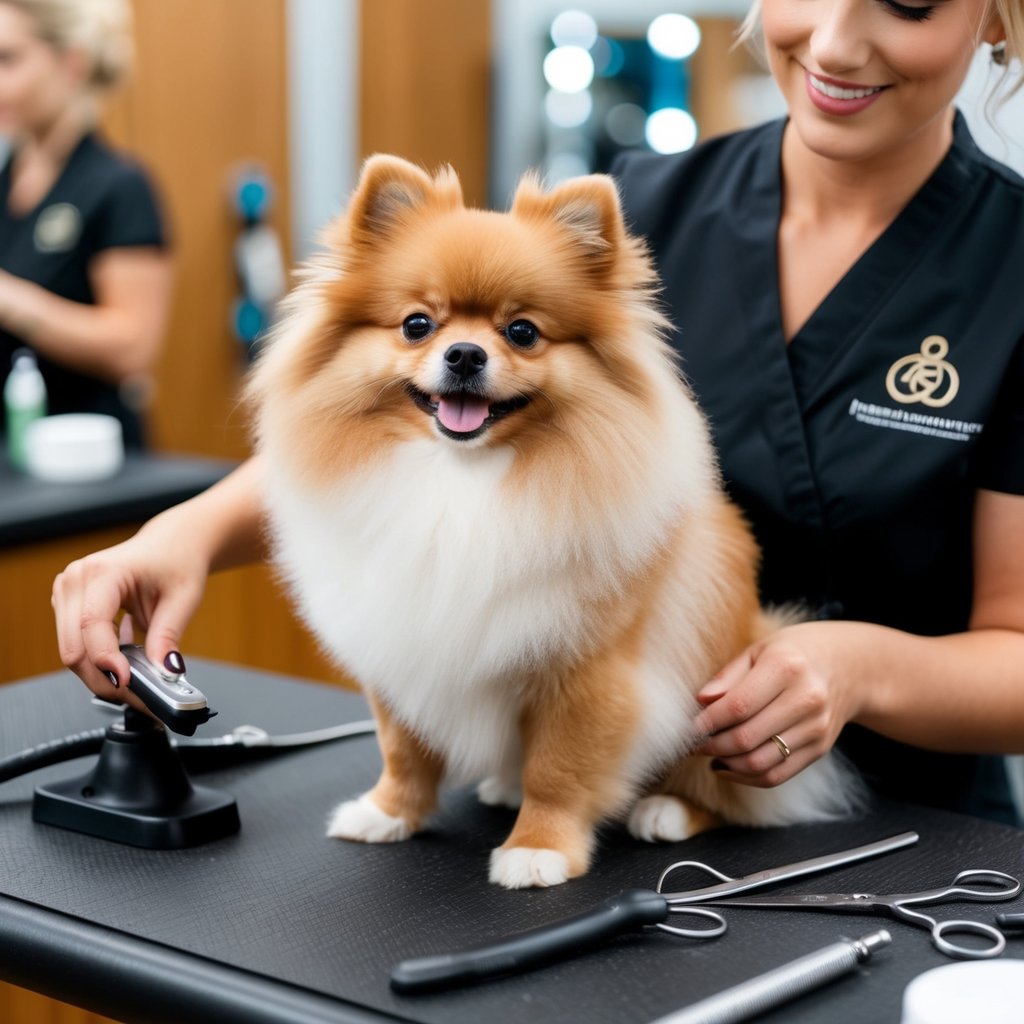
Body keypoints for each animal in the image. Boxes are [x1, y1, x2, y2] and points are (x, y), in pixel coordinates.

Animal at [247, 153, 856, 888]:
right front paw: (388, 813)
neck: (462, 481)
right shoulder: (402, 644)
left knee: (732, 791)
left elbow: (560, 768)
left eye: (522, 332)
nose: (465, 355)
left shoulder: (587, 670)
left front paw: (539, 848)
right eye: (418, 324)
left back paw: (668, 810)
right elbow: (404, 747)